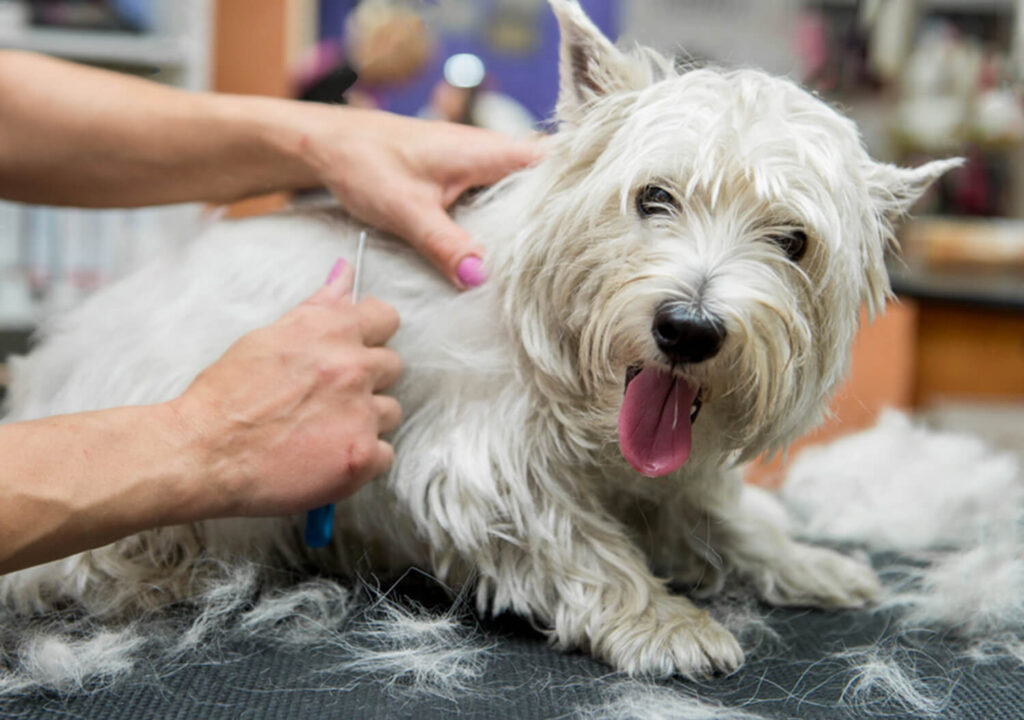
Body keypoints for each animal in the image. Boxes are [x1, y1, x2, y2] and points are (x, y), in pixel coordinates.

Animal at [0, 0, 958, 680]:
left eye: (793, 241)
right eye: (653, 197)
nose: (687, 329)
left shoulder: (668, 473)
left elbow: (724, 514)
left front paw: (807, 562)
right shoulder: (476, 465)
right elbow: (580, 543)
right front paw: (664, 621)